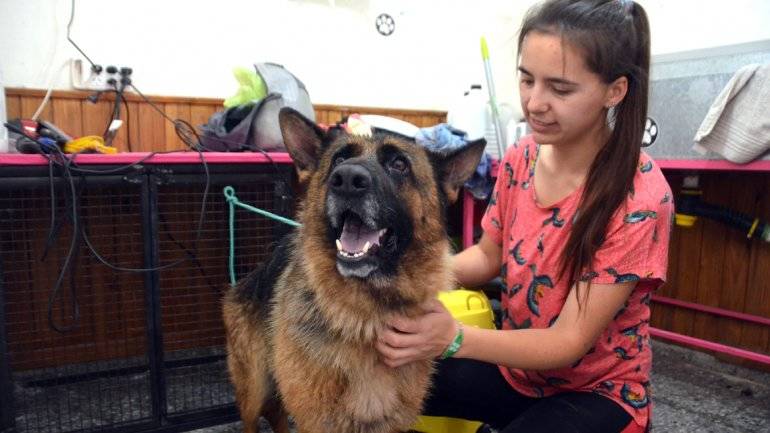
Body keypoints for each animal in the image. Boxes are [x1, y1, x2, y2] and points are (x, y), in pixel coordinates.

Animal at [220, 107, 480, 432]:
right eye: (339, 159)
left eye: (399, 164)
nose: (346, 179)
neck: (366, 317)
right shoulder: (316, 422)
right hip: (253, 391)